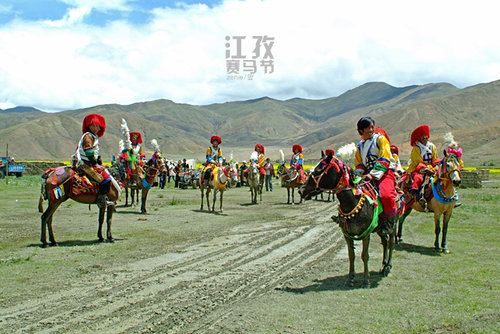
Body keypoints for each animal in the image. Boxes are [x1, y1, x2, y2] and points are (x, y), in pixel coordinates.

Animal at [296, 151, 398, 288]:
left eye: (320, 169)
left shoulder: (366, 233)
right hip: (379, 229)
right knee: (384, 242)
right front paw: (350, 278)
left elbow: (364, 255)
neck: (352, 202)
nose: (301, 190)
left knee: (391, 243)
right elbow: (351, 255)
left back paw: (388, 266)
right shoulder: (347, 234)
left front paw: (366, 280)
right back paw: (383, 265)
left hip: (392, 225)